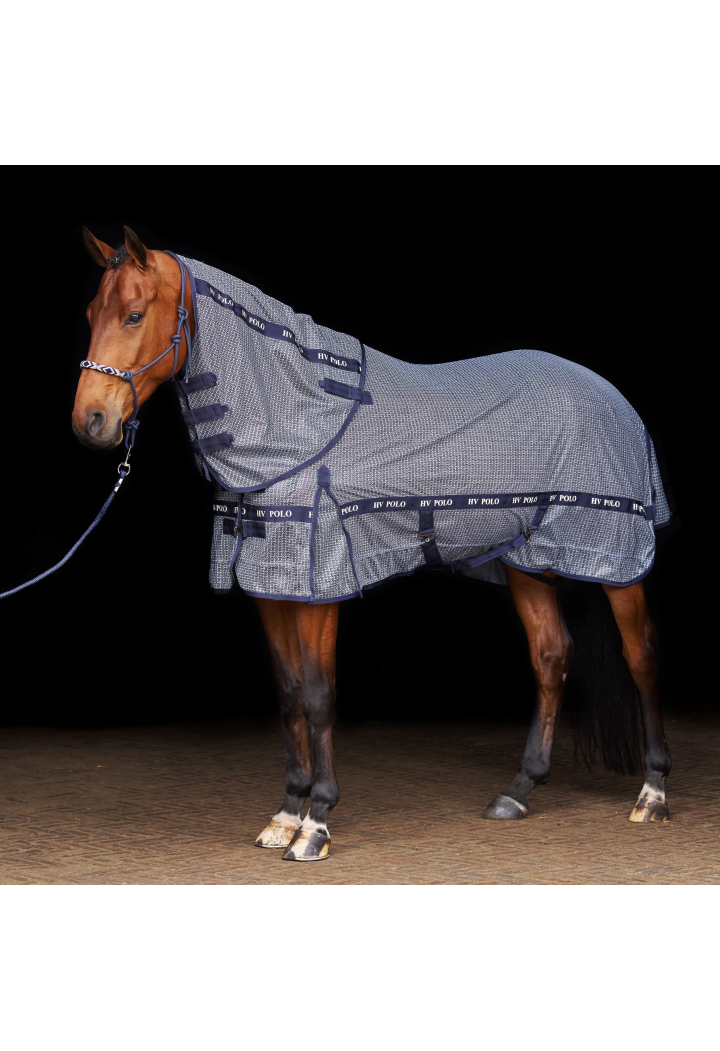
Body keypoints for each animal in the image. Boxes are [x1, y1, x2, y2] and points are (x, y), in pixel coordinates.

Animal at [72, 226, 672, 862]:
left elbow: (318, 696)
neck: (301, 422)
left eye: (134, 314)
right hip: (526, 559)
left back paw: (652, 794)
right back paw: (518, 791)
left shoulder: (319, 586)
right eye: (90, 312)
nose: (91, 421)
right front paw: (285, 813)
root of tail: (611, 397)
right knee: (551, 656)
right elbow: (288, 694)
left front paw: (315, 824)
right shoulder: (270, 583)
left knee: (641, 656)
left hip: (618, 560)